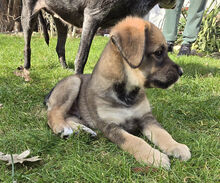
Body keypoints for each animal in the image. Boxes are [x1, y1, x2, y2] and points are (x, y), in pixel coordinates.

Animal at [45, 16, 191, 169]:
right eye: (158, 52)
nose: (181, 72)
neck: (126, 93)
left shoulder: (146, 117)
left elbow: (162, 133)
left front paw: (176, 146)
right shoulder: (110, 125)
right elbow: (135, 141)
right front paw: (154, 157)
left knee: (69, 118)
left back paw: (84, 130)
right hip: (73, 83)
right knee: (53, 114)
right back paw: (62, 128)